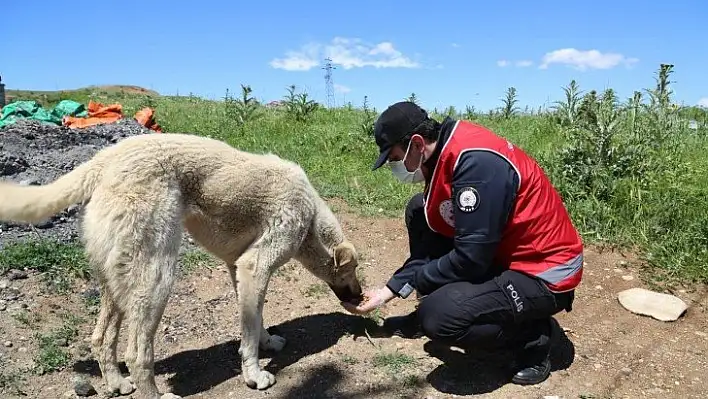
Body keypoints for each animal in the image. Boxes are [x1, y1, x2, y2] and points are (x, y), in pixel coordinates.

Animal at [0, 133, 366, 398]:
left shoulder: (238, 270)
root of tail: (106, 158)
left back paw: (116, 383)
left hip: (118, 281)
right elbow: (247, 334)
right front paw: (254, 374)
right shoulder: (254, 267)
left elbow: (255, 318)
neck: (311, 219)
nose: (361, 297)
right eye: (351, 272)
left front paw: (266, 342)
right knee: (136, 353)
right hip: (156, 277)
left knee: (102, 338)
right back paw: (154, 394)